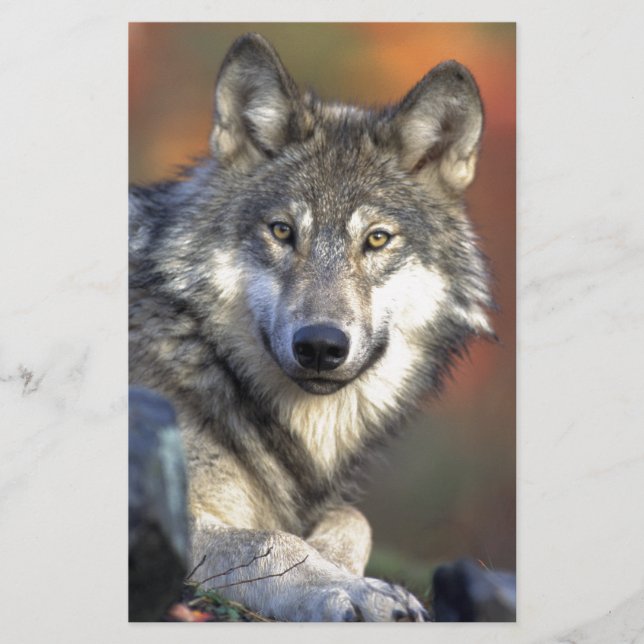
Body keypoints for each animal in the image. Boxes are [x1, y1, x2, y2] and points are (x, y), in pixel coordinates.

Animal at [129, 32, 493, 621]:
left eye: (376, 239)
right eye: (282, 231)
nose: (320, 346)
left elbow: (353, 518)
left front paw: (340, 565)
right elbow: (269, 541)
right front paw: (354, 590)